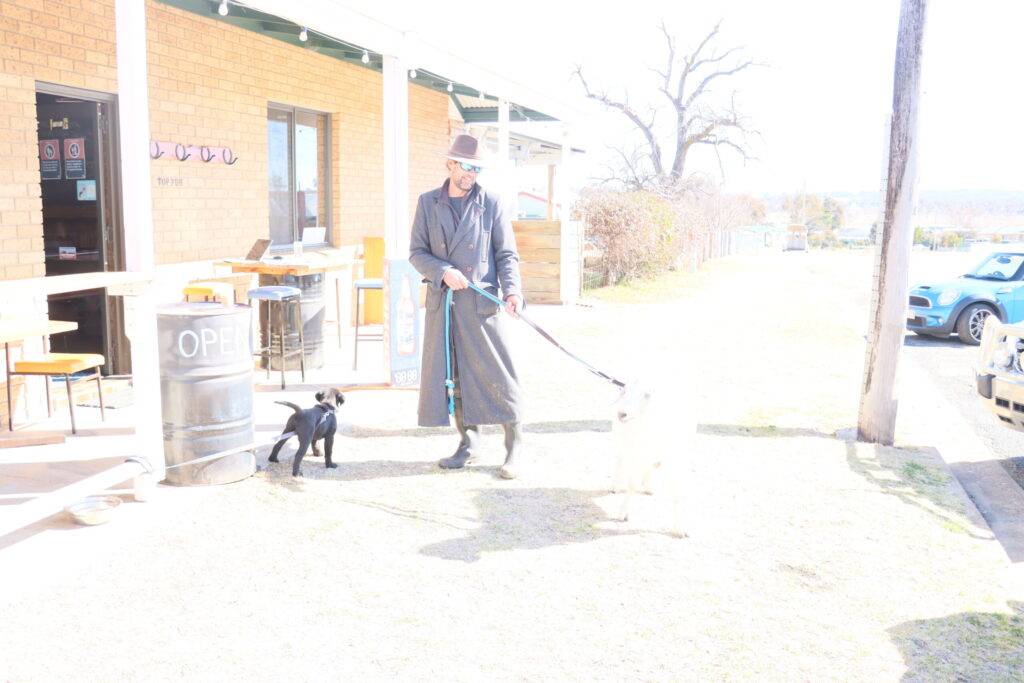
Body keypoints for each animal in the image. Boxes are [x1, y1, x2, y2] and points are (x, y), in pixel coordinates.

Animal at [610, 376, 700, 536]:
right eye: (625, 391)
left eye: (647, 394)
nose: (621, 414)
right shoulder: (635, 452)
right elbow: (632, 484)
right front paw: (623, 514)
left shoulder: (678, 457)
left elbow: (678, 490)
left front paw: (680, 528)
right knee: (620, 459)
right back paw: (616, 485)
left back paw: (648, 487)